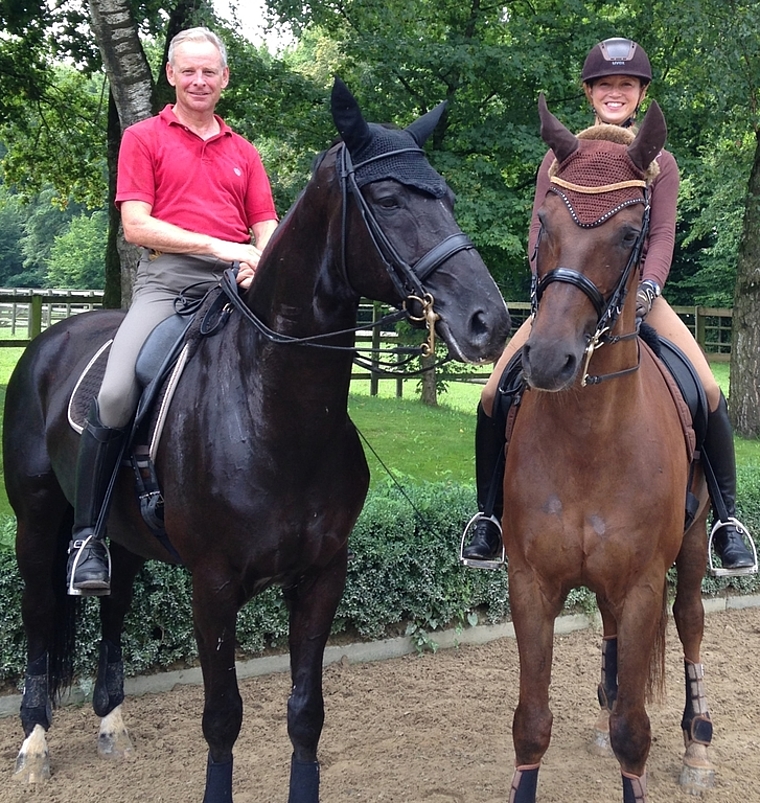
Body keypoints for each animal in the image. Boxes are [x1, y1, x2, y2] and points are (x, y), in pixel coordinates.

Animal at [2, 77, 510, 803]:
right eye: (387, 199)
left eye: (445, 195)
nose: (488, 320)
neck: (271, 411)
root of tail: (49, 339)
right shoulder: (213, 586)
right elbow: (222, 717)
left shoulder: (322, 575)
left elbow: (305, 712)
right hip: (38, 520)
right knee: (41, 611)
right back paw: (35, 740)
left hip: (117, 532)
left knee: (113, 602)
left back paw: (111, 722)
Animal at [508, 96, 716, 803]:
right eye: (543, 222)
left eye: (630, 235)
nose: (549, 359)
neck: (589, 440)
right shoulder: (531, 583)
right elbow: (531, 723)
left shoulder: (645, 584)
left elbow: (635, 733)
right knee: (609, 630)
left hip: (693, 543)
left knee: (692, 618)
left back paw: (698, 744)